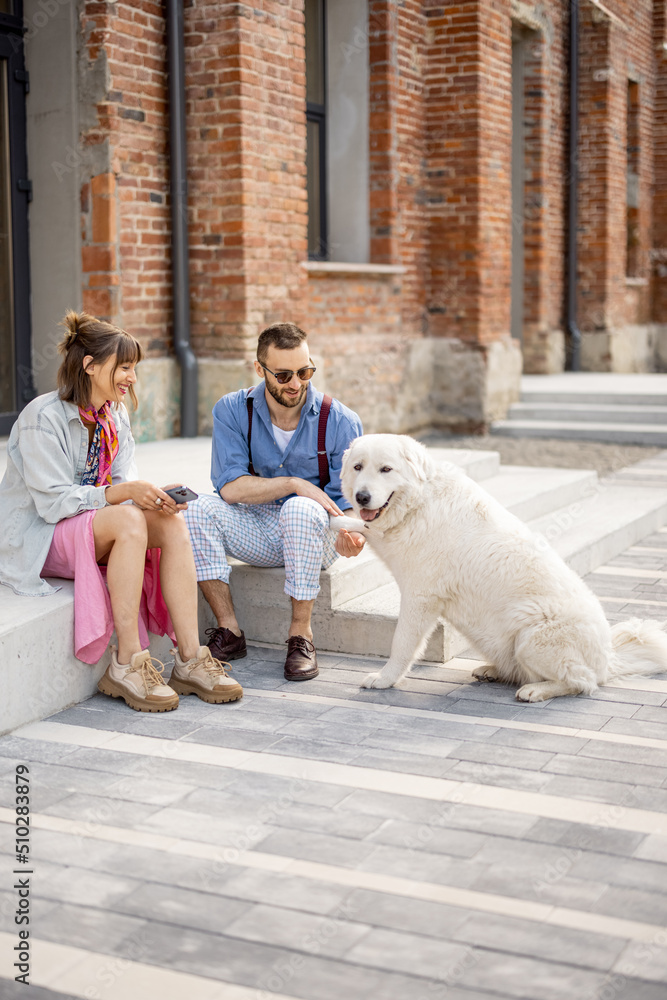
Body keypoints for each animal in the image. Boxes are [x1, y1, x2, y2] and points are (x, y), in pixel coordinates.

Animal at [342, 436, 667, 704]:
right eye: (358, 467)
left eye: (386, 469)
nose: (361, 497)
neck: (420, 502)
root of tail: (608, 659)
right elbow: (360, 525)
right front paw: (337, 518)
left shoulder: (419, 597)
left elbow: (401, 643)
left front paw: (385, 679)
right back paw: (494, 671)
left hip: (531, 637)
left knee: (583, 682)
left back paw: (536, 691)